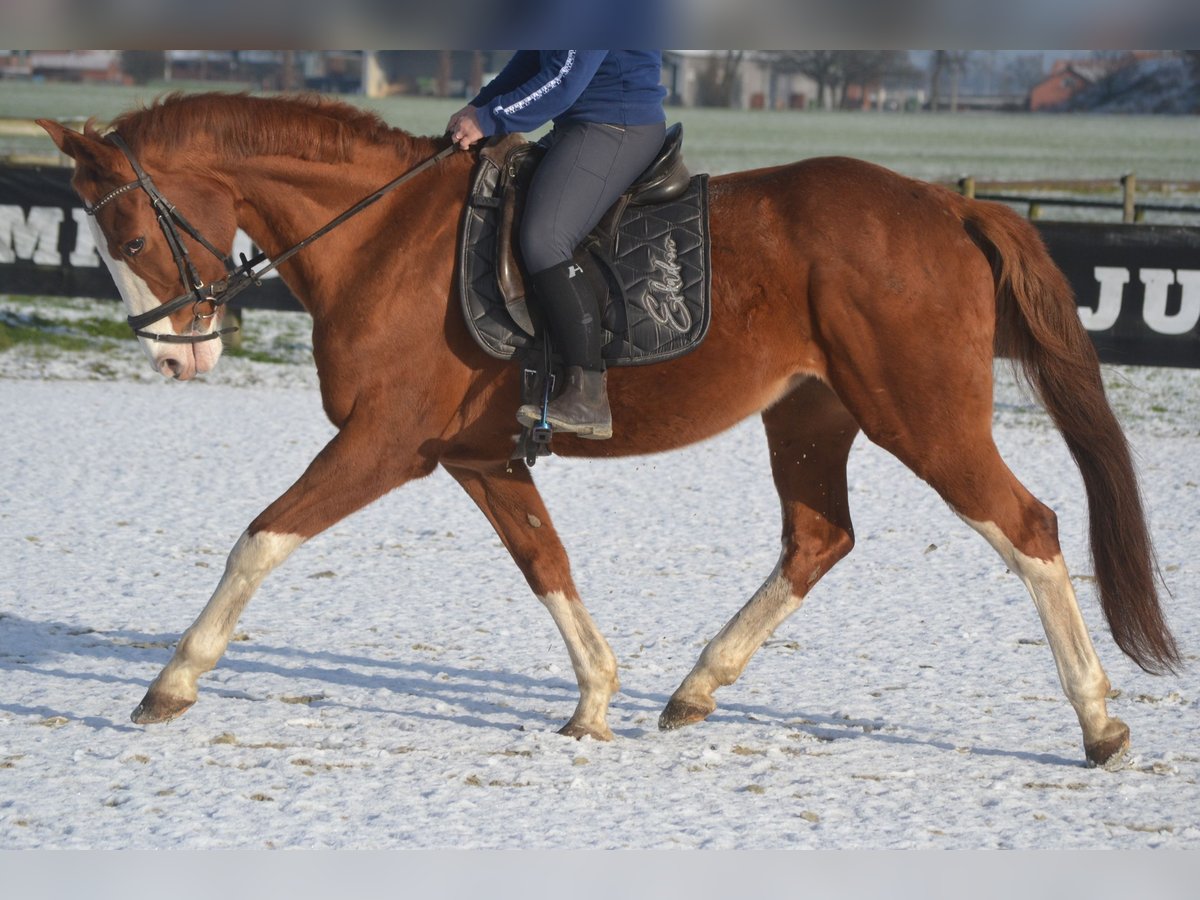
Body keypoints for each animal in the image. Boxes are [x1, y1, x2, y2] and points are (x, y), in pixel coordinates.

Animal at [35, 93, 1171, 768]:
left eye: (126, 234)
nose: (176, 355)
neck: (383, 237)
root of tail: (946, 206)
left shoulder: (384, 443)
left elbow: (260, 538)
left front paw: (171, 681)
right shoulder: (479, 458)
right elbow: (547, 563)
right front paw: (595, 700)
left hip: (922, 415)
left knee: (1028, 527)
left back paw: (1100, 721)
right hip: (811, 415)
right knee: (819, 538)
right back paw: (696, 689)